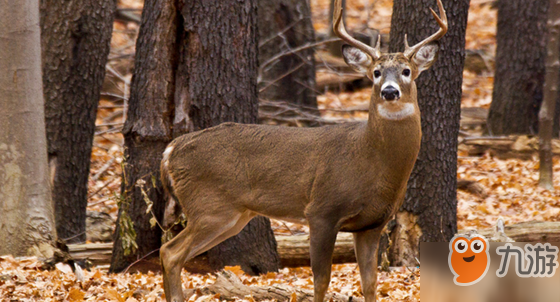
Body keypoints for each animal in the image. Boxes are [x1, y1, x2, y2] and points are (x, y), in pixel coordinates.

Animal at [160, 0, 448, 300]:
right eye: (376, 73)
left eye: (406, 71)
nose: (389, 92)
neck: (371, 159)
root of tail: (171, 150)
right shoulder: (321, 210)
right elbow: (321, 280)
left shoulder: (372, 224)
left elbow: (370, 283)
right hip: (210, 206)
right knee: (170, 252)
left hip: (233, 215)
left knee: (174, 254)